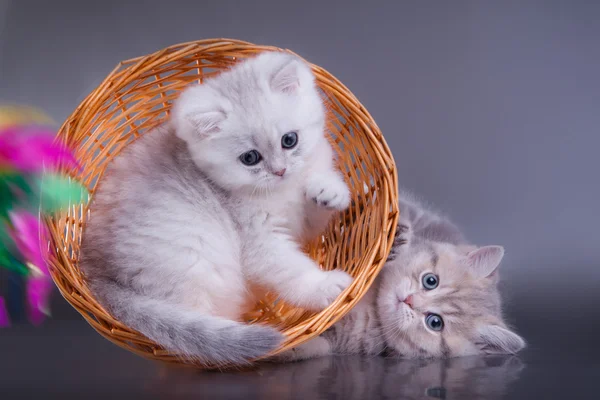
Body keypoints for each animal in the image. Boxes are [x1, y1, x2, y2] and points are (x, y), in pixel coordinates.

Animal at [79, 52, 352, 366]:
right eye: (250, 158)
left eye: (289, 140)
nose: (280, 171)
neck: (282, 191)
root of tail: (96, 274)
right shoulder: (260, 241)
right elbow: (289, 269)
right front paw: (324, 286)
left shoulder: (301, 224)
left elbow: (316, 206)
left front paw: (328, 189)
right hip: (198, 266)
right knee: (215, 346)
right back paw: (294, 345)